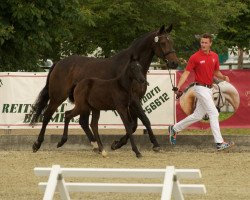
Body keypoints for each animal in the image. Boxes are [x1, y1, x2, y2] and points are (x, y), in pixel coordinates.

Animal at [31, 24, 179, 152]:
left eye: (172, 42)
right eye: (162, 42)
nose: (174, 63)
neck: (130, 68)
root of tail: (58, 63)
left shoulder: (133, 101)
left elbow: (134, 124)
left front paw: (117, 144)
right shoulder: (134, 99)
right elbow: (143, 121)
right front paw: (155, 144)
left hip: (84, 104)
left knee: (83, 122)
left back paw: (95, 145)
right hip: (58, 97)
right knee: (47, 116)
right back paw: (38, 143)